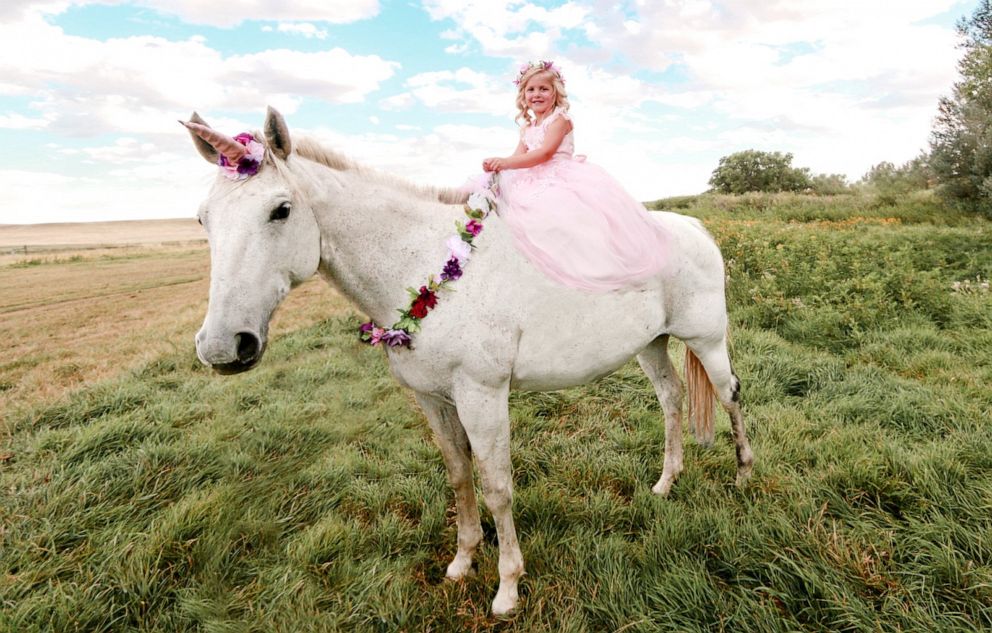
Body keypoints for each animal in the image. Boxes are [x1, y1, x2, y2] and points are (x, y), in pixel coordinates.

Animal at [182, 107, 752, 612]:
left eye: (281, 209)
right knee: (672, 399)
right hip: (651, 344)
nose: (223, 347)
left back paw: (744, 474)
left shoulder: (482, 397)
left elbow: (497, 487)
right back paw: (666, 482)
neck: (425, 266)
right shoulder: (433, 400)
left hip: (706, 340)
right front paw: (462, 561)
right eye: (203, 218)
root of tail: (695, 228)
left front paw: (508, 587)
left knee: (729, 394)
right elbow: (459, 477)